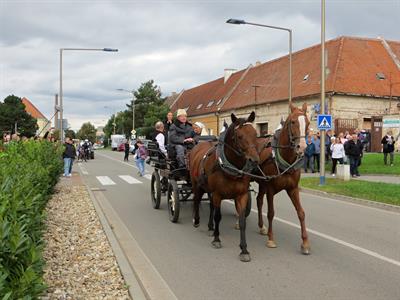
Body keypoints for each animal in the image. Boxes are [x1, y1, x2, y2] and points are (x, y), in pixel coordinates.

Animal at [190, 111, 260, 262]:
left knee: (210, 205)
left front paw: (244, 249)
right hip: (196, 184)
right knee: (197, 200)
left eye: (255, 134)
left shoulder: (241, 195)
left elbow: (242, 221)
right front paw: (217, 239)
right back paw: (197, 220)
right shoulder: (218, 194)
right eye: (239, 136)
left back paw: (210, 227)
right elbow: (218, 216)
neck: (230, 168)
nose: (254, 160)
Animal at [256, 102, 312, 253]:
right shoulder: (270, 188)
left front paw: (305, 243)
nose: (302, 147)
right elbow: (271, 213)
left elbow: (301, 213)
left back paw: (261, 226)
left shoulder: (293, 189)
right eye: (292, 122)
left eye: (308, 123)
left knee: (258, 201)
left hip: (262, 183)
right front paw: (271, 239)